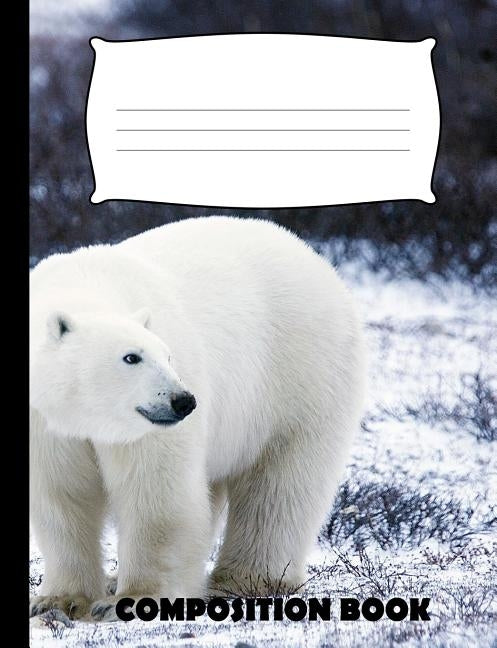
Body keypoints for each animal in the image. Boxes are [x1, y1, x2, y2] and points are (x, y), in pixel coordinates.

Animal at [29, 216, 366, 621]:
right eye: (131, 357)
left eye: (167, 354)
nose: (183, 401)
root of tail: (315, 259)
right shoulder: (44, 423)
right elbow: (61, 497)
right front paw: (57, 601)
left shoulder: (150, 429)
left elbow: (156, 493)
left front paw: (134, 599)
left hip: (301, 376)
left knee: (280, 485)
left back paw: (247, 580)